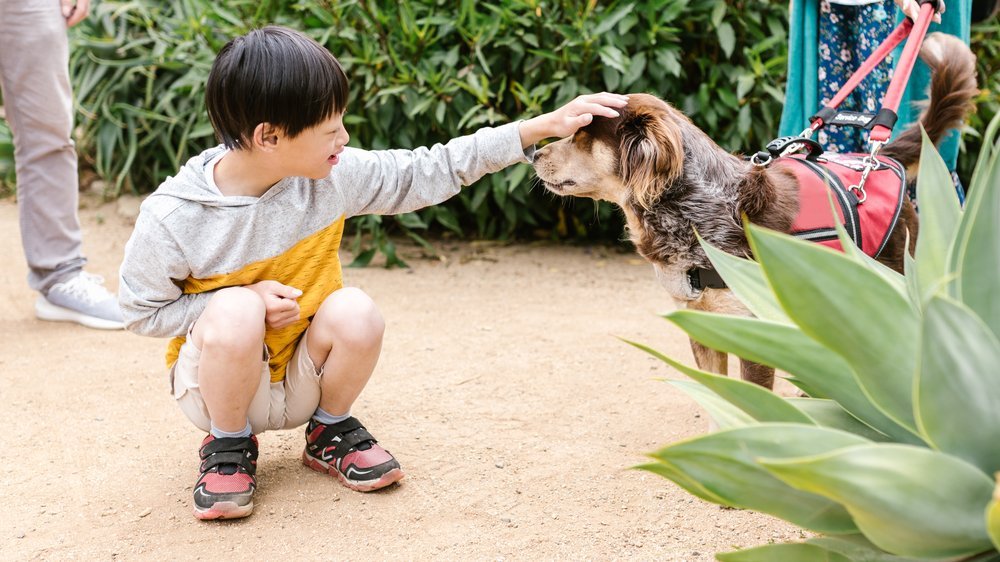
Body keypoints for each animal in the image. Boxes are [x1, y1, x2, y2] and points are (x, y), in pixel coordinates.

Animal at [536, 32, 980, 388]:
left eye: (583, 135)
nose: (535, 153)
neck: (697, 212)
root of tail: (876, 159)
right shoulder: (702, 325)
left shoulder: (755, 329)